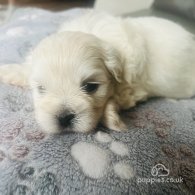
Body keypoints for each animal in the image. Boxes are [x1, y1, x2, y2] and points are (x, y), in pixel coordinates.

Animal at [0, 10, 195, 133]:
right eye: (41, 89)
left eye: (90, 87)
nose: (64, 117)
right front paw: (9, 71)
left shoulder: (131, 88)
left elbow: (114, 98)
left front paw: (112, 118)